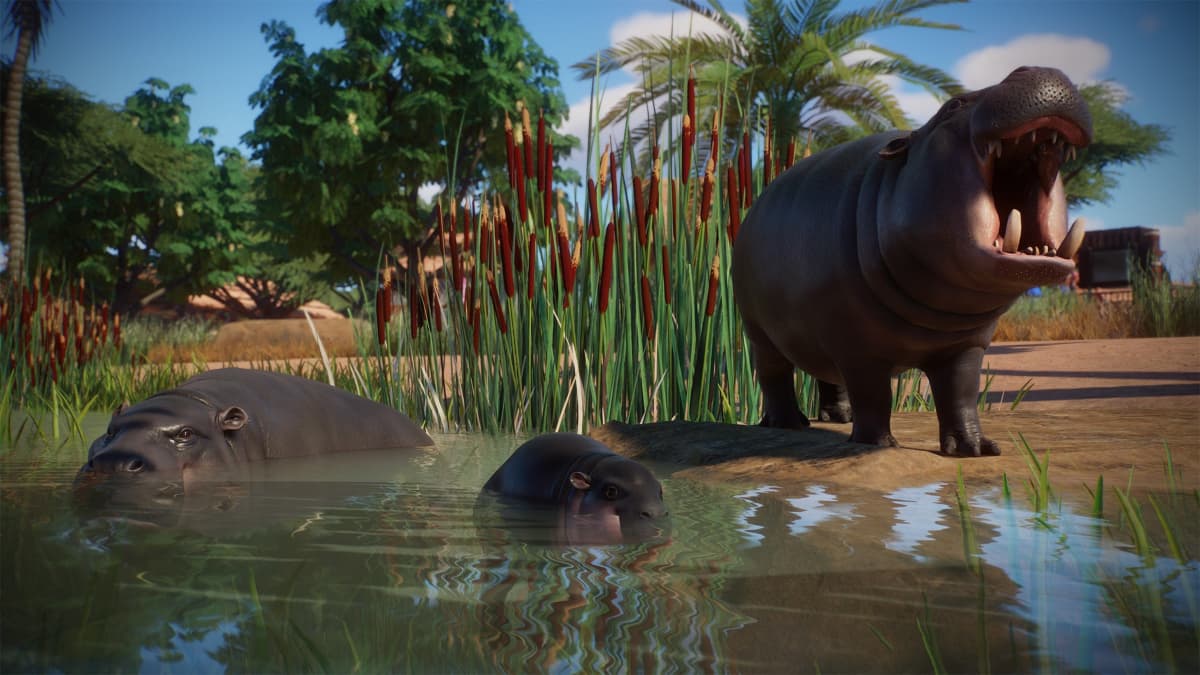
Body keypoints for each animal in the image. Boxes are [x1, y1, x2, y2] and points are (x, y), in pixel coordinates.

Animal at [731, 66, 1092, 456]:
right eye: (952, 105)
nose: (1035, 69)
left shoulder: (966, 345)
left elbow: (960, 395)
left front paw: (975, 448)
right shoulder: (856, 345)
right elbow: (873, 396)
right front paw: (878, 444)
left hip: (814, 335)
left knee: (827, 376)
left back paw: (839, 418)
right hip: (760, 334)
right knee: (775, 376)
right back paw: (788, 423)